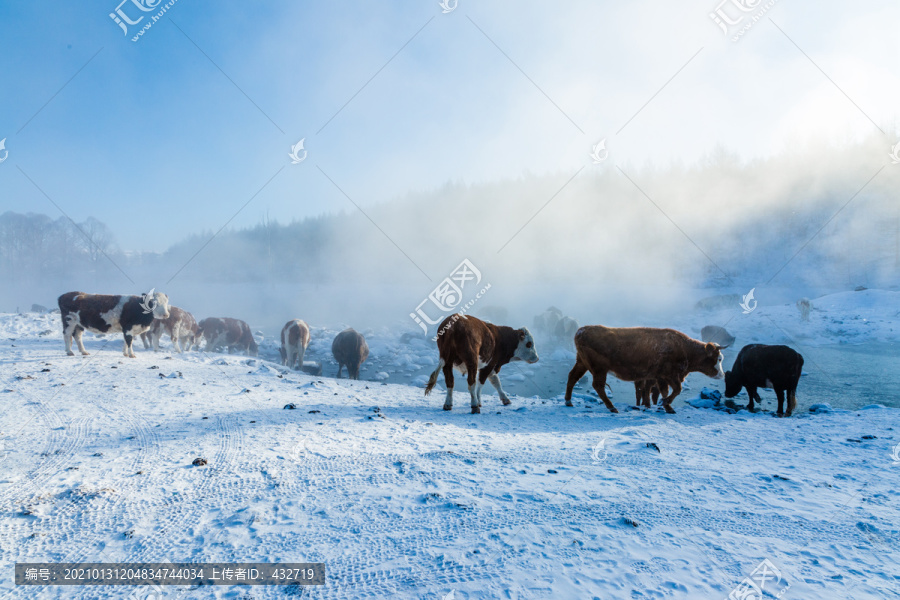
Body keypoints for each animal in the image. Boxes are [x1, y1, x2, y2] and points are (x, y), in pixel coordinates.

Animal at [568, 326, 728, 414]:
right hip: (599, 369)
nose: (722, 375)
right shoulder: (670, 375)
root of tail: (581, 330)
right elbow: (677, 389)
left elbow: (665, 391)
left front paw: (667, 406)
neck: (684, 348)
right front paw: (666, 403)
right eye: (719, 359)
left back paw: (568, 401)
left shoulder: (660, 377)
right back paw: (612, 407)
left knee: (573, 377)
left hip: (582, 363)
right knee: (598, 386)